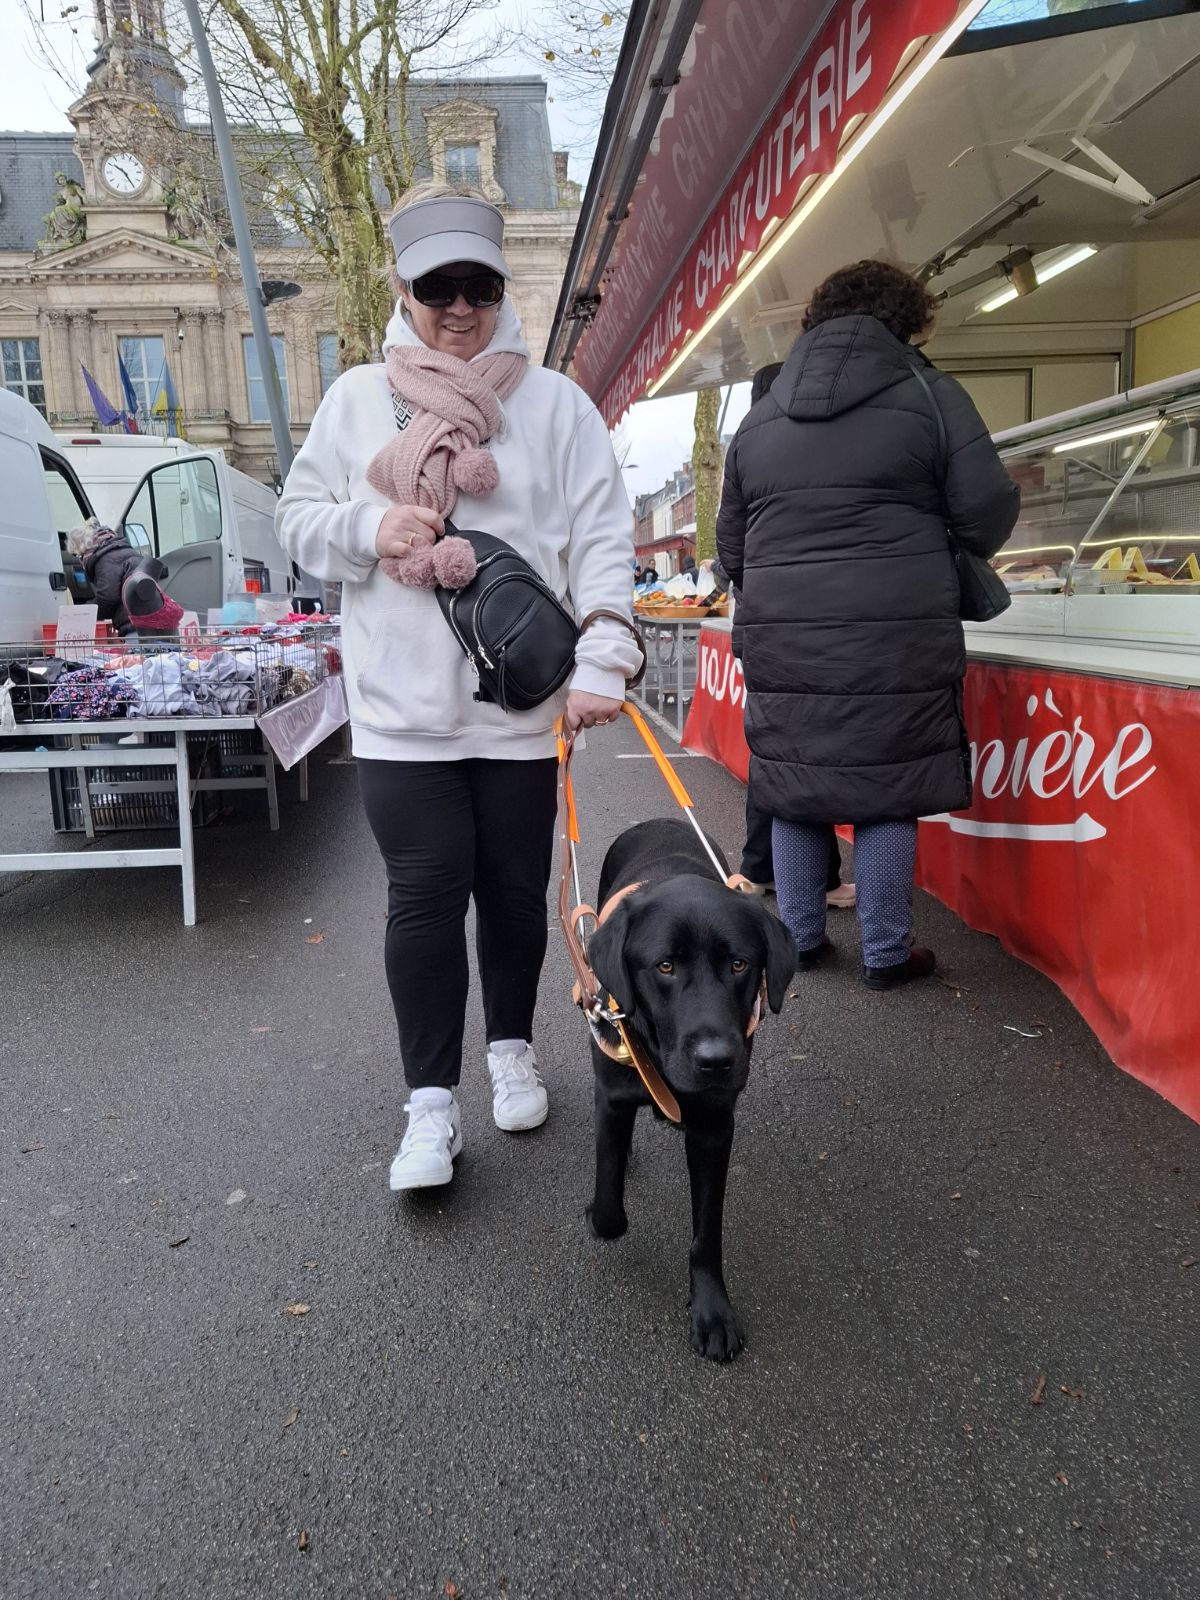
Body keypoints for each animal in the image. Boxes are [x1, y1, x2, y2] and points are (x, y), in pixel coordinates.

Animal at [588, 819, 803, 1356]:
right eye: (665, 966)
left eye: (739, 965)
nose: (715, 1062)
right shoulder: (612, 1097)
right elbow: (609, 1212)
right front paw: (606, 1199)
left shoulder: (713, 1128)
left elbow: (707, 1231)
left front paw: (711, 1310)